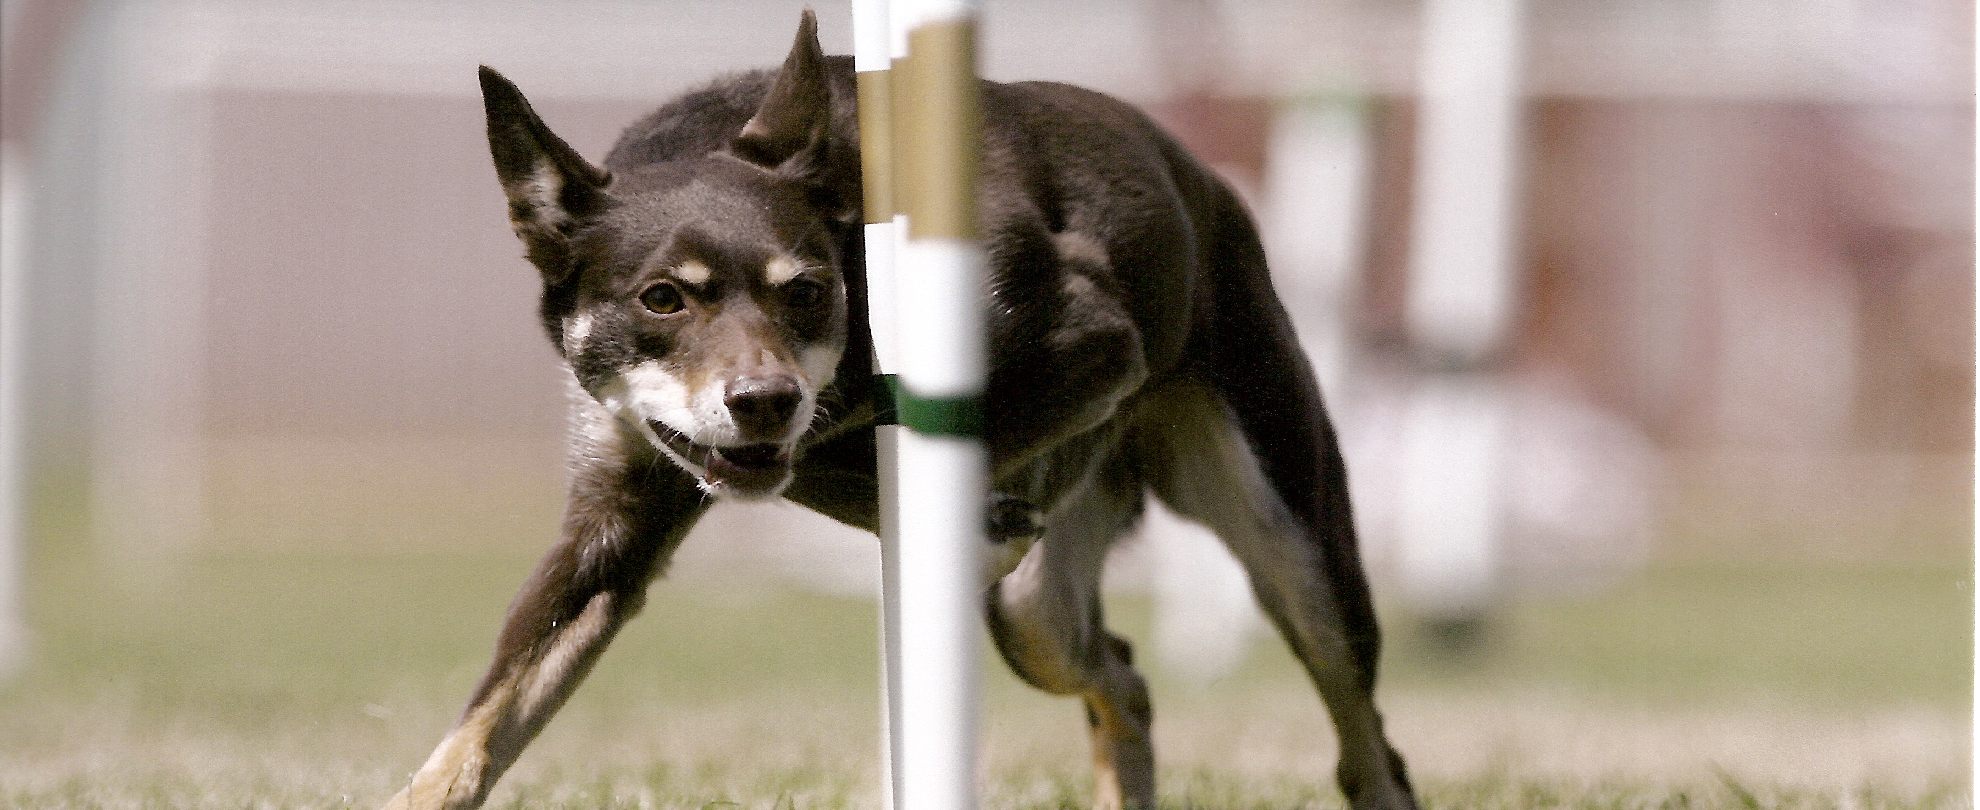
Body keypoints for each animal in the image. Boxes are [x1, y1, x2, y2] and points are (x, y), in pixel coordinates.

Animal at [382, 11, 1409, 808]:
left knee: (1367, 742)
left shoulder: (1096, 339)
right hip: (1035, 622)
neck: (853, 236)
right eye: (662, 299)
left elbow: (915, 452)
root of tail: (1208, 183)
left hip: (1291, 536)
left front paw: (958, 517)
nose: (764, 402)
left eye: (805, 291)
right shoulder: (618, 517)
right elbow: (488, 718)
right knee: (1119, 673)